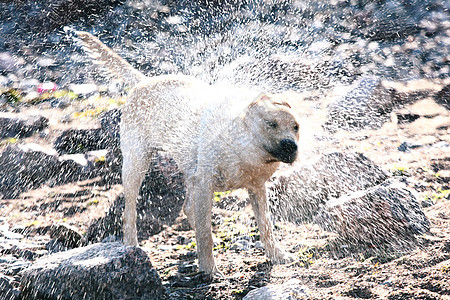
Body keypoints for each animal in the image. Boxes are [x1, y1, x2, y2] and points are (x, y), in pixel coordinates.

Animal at [72, 29, 300, 276]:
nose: (291, 146)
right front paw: (209, 269)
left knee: (188, 208)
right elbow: (204, 234)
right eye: (271, 124)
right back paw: (131, 247)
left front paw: (277, 255)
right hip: (136, 165)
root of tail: (144, 81)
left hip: (188, 172)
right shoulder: (205, 183)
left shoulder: (256, 188)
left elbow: (265, 226)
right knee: (129, 213)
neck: (243, 148)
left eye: (296, 127)